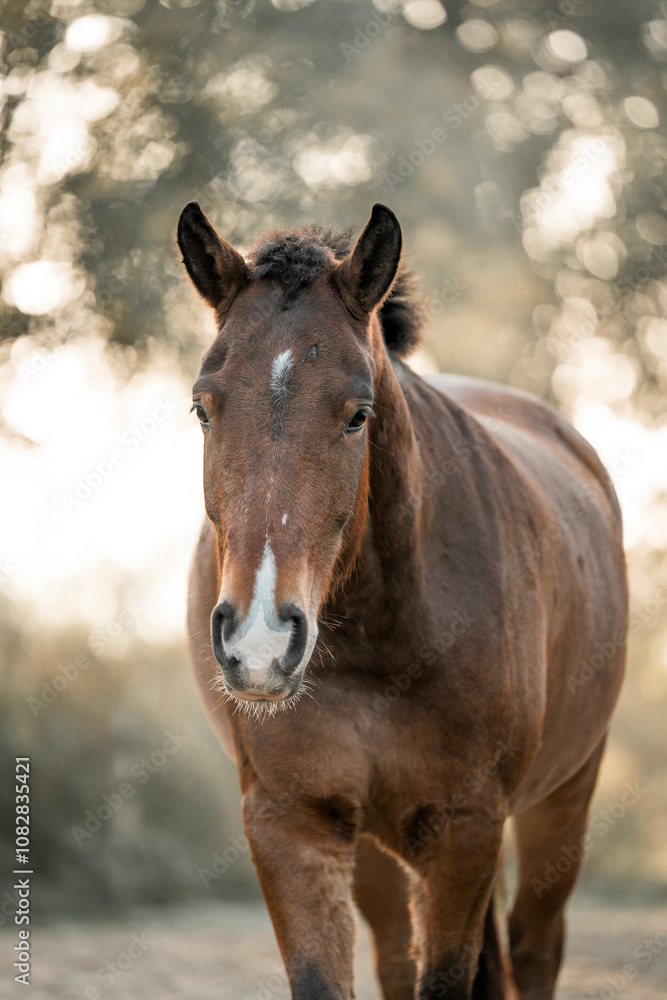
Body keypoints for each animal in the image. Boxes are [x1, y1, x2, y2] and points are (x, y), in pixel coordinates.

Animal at [179, 201, 627, 1000]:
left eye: (357, 414)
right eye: (203, 408)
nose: (259, 645)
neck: (381, 638)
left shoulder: (464, 830)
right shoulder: (293, 824)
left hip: (562, 797)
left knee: (536, 946)